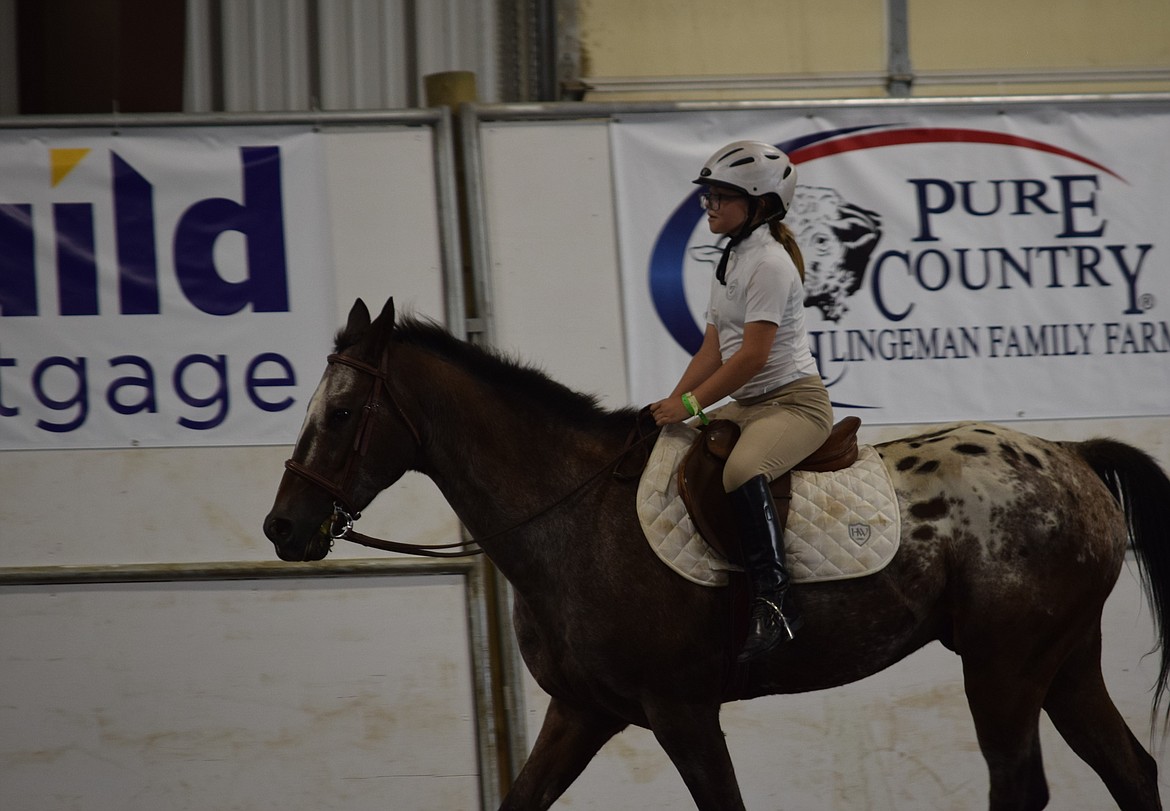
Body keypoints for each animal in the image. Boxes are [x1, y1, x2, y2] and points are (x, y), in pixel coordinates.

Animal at [263, 297, 1170, 809]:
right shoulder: (581, 710)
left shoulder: (683, 710)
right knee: (1131, 768)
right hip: (1060, 660)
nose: (282, 528)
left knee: (1020, 786)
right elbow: (521, 799)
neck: (571, 514)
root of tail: (1073, 458)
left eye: (341, 413)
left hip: (1004, 665)